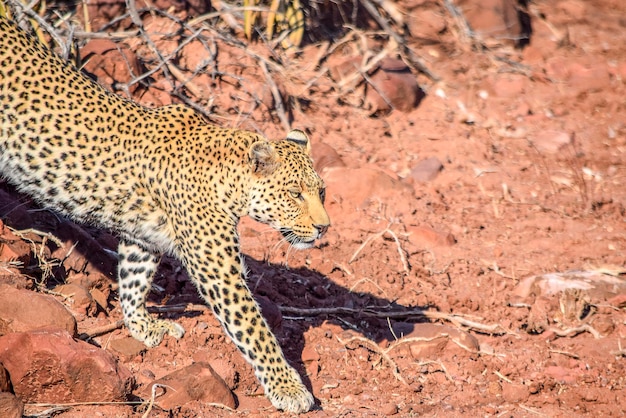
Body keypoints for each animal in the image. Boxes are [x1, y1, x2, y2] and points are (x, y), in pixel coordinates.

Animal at [0, 17, 330, 414]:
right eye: (295, 194)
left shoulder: (142, 238)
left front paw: (143, 325)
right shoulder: (219, 272)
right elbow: (255, 330)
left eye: (321, 192)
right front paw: (288, 387)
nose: (324, 227)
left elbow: (134, 280)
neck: (230, 179)